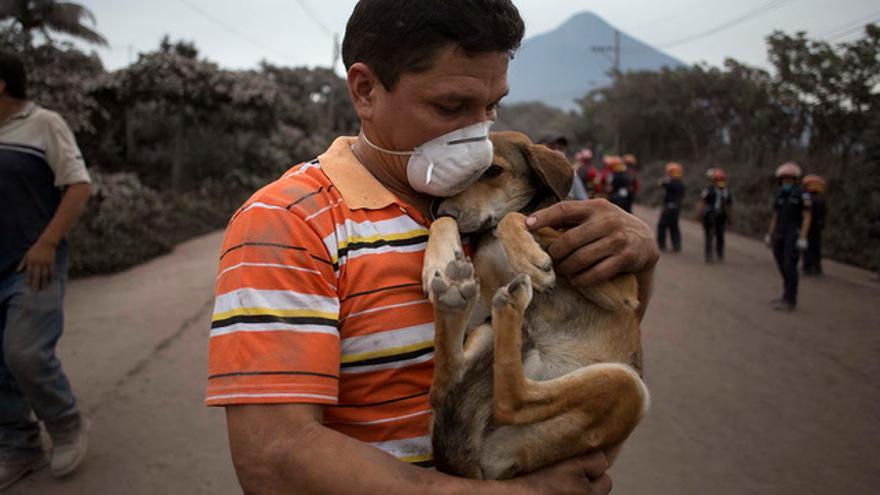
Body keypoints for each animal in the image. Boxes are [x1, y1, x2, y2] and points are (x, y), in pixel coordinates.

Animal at [422, 131, 648, 480]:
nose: (441, 209)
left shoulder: (619, 290)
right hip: (487, 333)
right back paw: (461, 302)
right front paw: (439, 256)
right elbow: (461, 225)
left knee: (512, 401)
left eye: (493, 171)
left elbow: (515, 218)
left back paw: (506, 303)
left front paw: (529, 256)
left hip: (628, 388)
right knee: (450, 385)